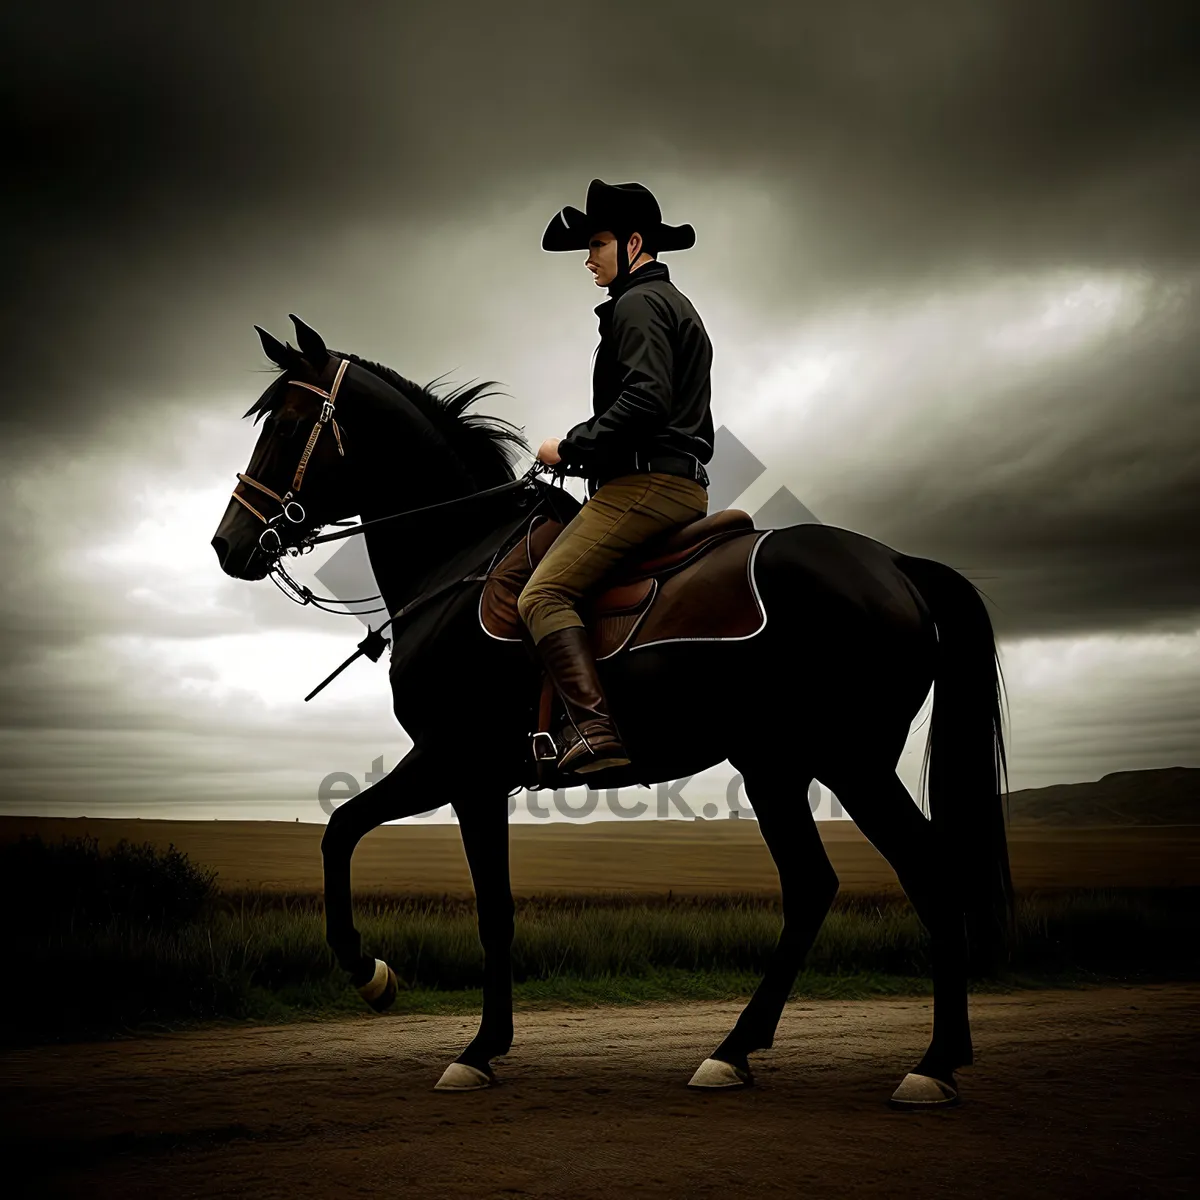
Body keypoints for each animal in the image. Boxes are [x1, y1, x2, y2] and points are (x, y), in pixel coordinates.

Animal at [213, 316, 1012, 1104]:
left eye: (287, 424)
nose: (229, 544)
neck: (458, 560)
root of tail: (895, 565)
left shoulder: (455, 764)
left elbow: (364, 844)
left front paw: (386, 985)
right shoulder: (473, 776)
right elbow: (432, 876)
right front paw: (476, 1040)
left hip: (852, 762)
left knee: (927, 873)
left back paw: (932, 1064)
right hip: (775, 765)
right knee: (812, 887)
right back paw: (734, 1052)